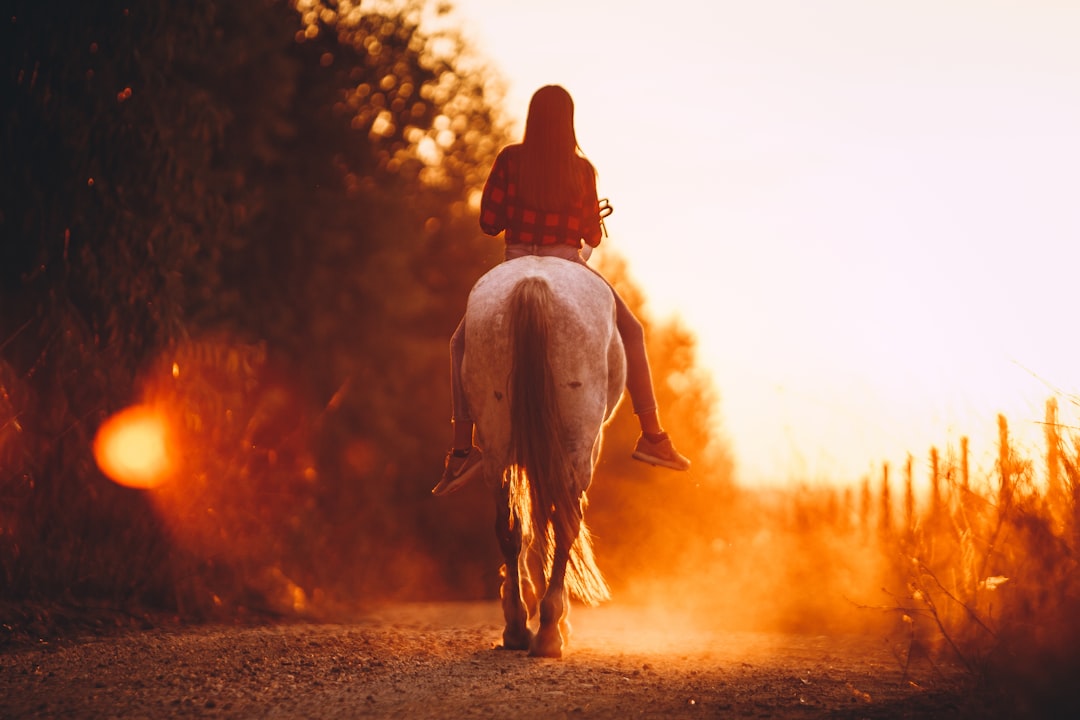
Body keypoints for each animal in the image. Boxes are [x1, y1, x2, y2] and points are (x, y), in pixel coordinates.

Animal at [462, 254, 626, 660]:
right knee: (564, 524)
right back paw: (549, 632)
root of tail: (533, 283)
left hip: (497, 446)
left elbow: (528, 528)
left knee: (508, 527)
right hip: (577, 447)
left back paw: (518, 627)